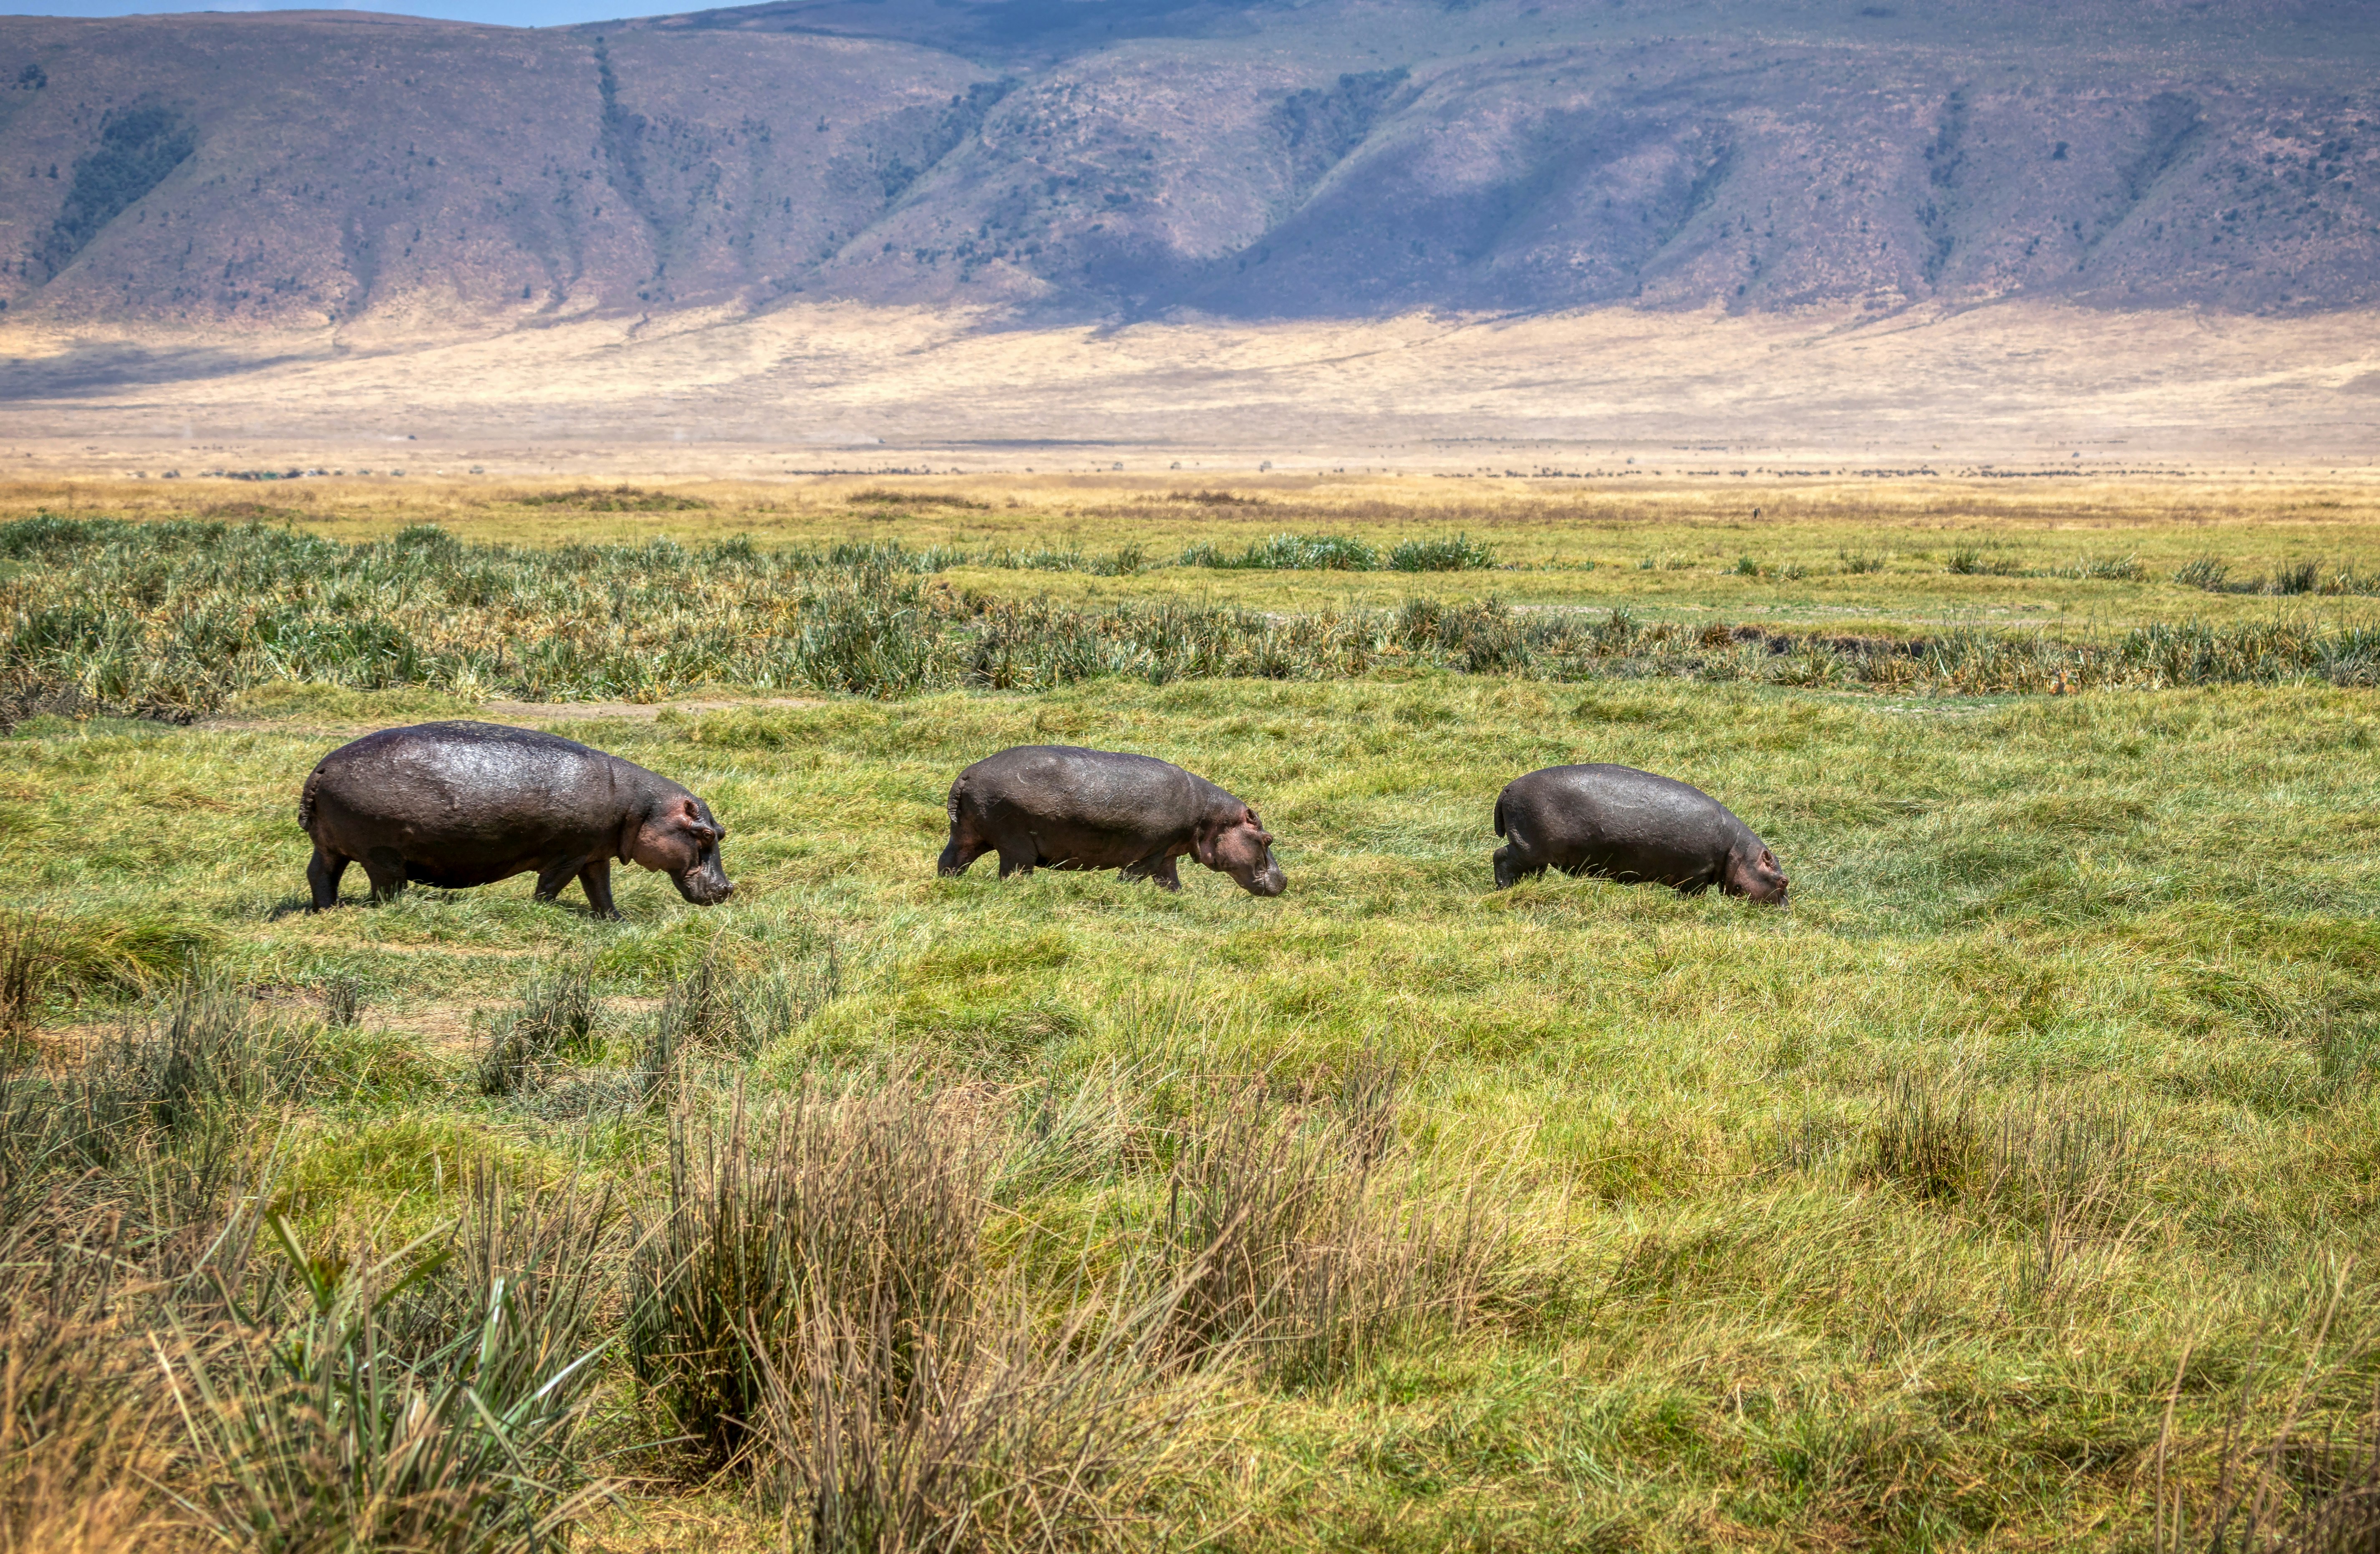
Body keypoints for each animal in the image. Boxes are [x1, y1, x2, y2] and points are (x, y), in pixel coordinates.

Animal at [298, 723, 728, 913]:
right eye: (706, 835)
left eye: (721, 831)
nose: (728, 889)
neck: (643, 808)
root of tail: (321, 768)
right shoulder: (570, 854)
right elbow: (551, 886)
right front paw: (542, 911)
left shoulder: (595, 854)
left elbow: (600, 890)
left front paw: (615, 920)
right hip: (382, 854)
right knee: (385, 887)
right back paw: (392, 908)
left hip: (331, 845)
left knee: (321, 873)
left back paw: (327, 910)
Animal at [938, 747, 1294, 895]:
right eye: (1268, 839)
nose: (1285, 880)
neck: (1211, 817)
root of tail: (967, 775)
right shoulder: (1152, 852)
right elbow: (1133, 877)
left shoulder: (1168, 854)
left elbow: (1170, 882)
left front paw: (1181, 899)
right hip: (1016, 845)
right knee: (1012, 872)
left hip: (966, 835)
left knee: (950, 861)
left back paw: (948, 885)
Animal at [1485, 761, 1790, 904]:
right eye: (1784, 881)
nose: (1787, 910)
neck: (1738, 851)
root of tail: (1507, 789)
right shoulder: (1698, 873)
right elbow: (1693, 894)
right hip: (1527, 846)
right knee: (1501, 857)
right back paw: (1504, 889)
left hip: (1536, 851)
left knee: (1529, 868)